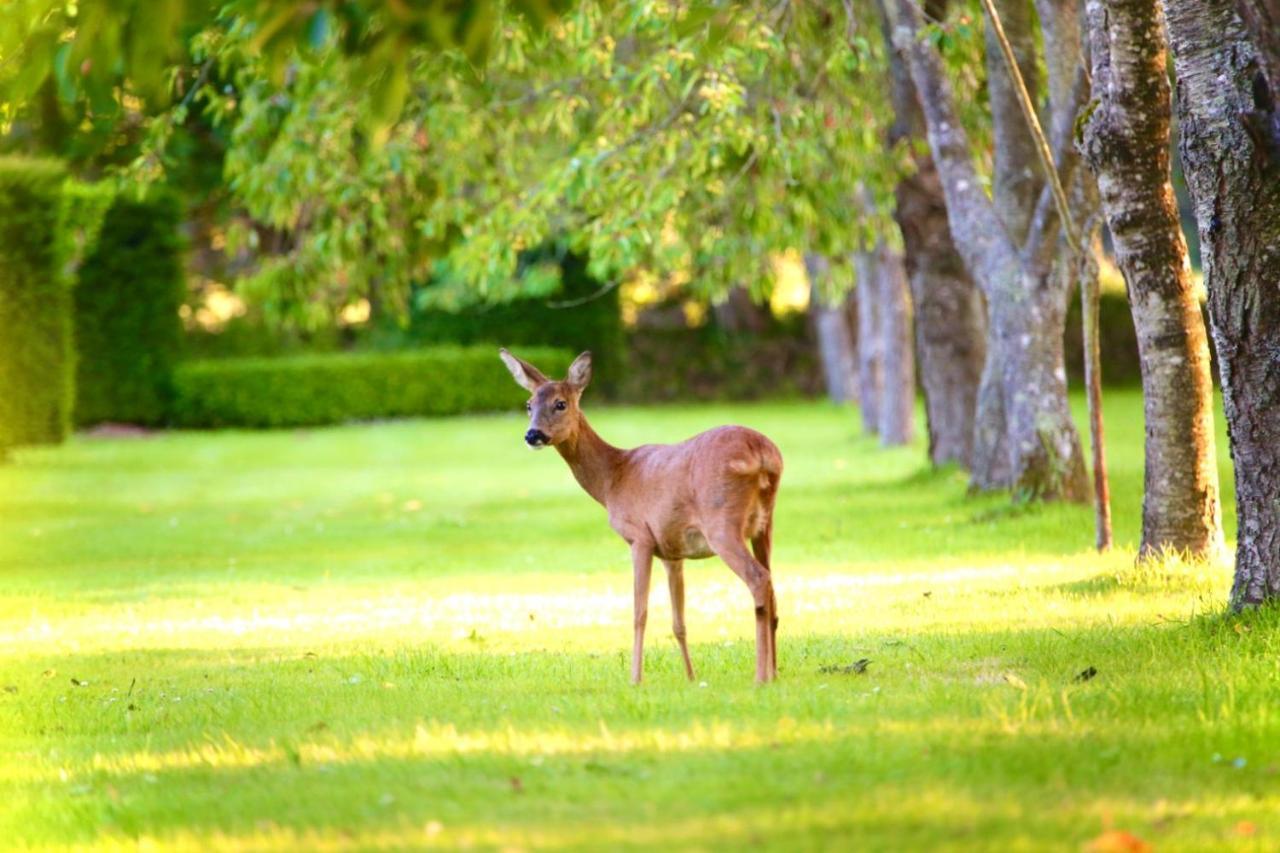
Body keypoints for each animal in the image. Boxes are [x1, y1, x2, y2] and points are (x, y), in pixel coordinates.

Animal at [496, 348, 778, 681]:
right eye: (529, 405)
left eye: (560, 403)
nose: (533, 435)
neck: (613, 479)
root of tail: (762, 453)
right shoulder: (671, 550)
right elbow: (678, 621)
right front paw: (691, 678)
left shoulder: (639, 536)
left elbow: (638, 613)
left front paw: (635, 679)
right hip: (765, 524)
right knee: (773, 588)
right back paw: (774, 674)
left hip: (722, 523)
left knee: (758, 579)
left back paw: (760, 678)